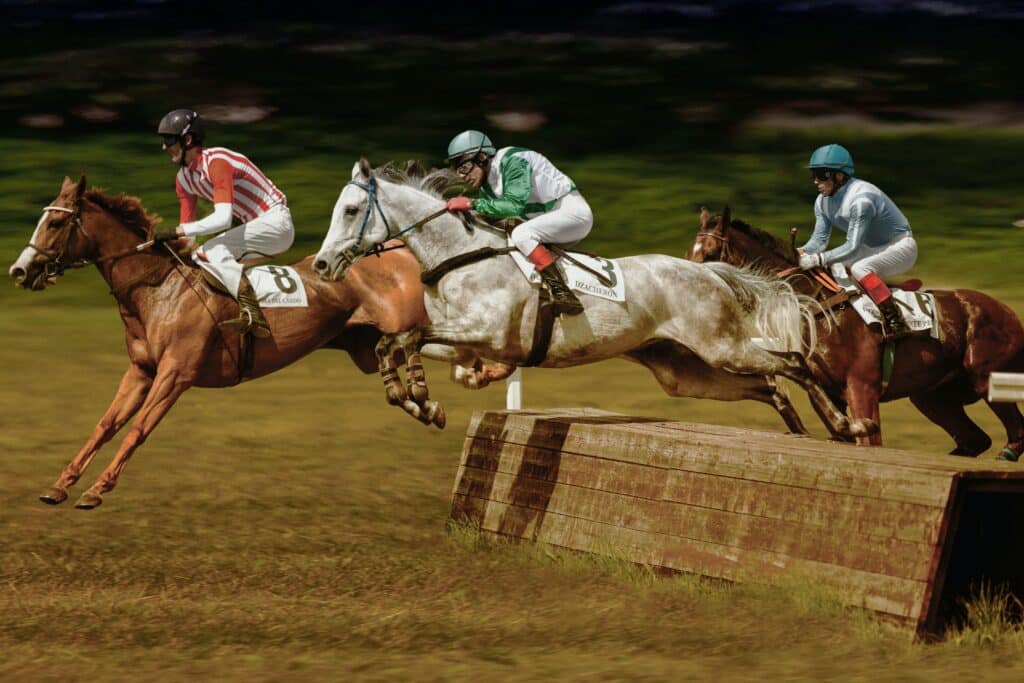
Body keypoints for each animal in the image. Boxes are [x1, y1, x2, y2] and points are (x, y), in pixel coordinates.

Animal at [7, 176, 460, 507]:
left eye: (56, 223)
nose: (19, 270)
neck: (157, 290)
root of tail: (399, 249)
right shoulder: (141, 372)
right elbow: (104, 425)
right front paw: (61, 484)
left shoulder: (175, 375)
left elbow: (137, 429)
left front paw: (96, 489)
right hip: (363, 345)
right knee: (394, 362)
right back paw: (424, 403)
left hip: (424, 325)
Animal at [311, 158, 872, 440]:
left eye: (352, 209)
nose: (320, 265)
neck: (460, 255)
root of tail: (708, 271)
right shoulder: (464, 343)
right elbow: (395, 343)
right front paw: (417, 401)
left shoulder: (485, 333)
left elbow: (404, 336)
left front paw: (421, 398)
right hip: (687, 371)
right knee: (768, 386)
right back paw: (802, 431)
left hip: (723, 346)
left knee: (793, 362)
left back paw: (847, 422)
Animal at [688, 205, 1024, 456]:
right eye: (690, 252)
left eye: (710, 253)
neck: (818, 306)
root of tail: (1009, 312)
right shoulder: (829, 393)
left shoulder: (862, 388)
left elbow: (870, 442)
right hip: (932, 397)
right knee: (975, 440)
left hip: (986, 379)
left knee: (1014, 434)